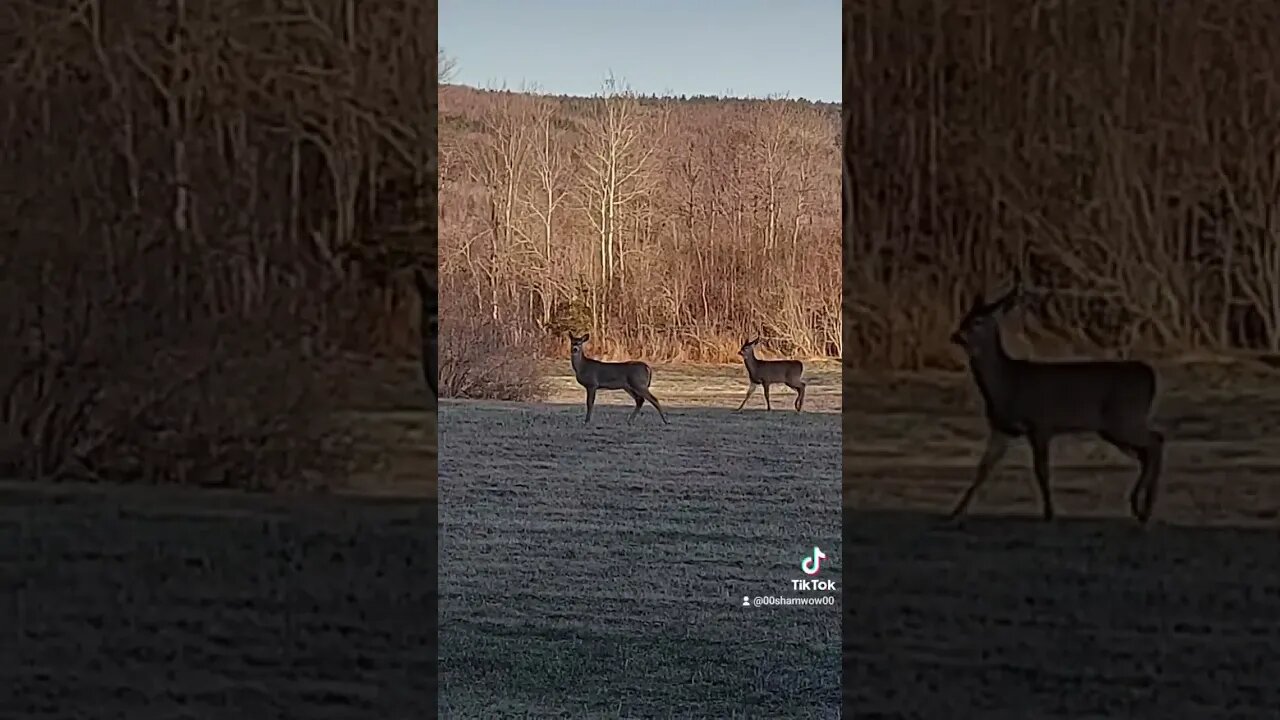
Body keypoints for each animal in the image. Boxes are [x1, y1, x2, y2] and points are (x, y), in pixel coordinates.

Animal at [947, 271, 1167, 525]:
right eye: (965, 317)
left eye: (978, 322)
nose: (956, 335)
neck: (1007, 383)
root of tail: (1149, 374)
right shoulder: (1002, 428)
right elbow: (983, 468)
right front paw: (956, 512)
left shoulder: (1041, 423)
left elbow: (1041, 471)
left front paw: (1050, 513)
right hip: (1114, 426)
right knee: (1147, 451)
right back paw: (1141, 509)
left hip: (1123, 417)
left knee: (1155, 441)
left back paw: (1144, 508)